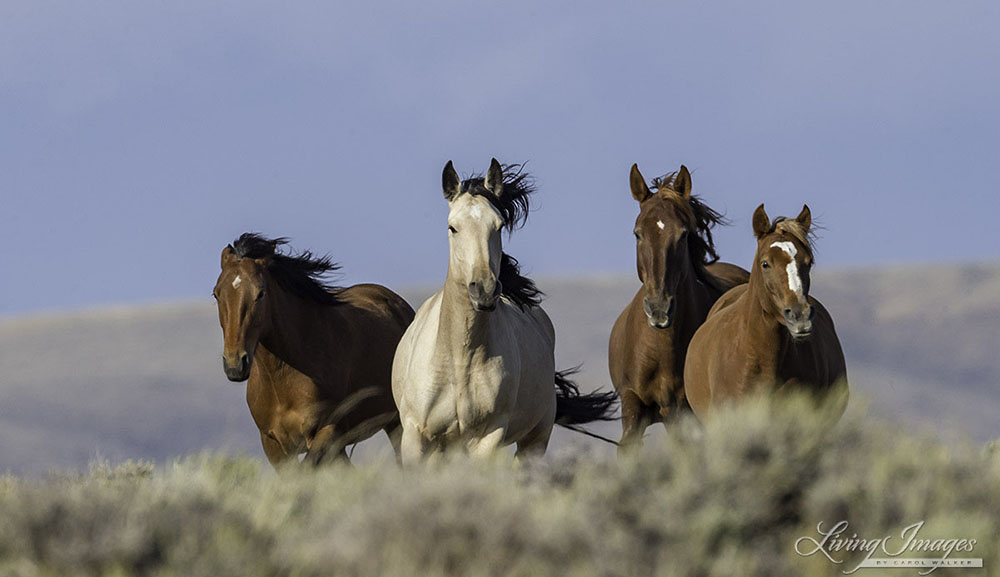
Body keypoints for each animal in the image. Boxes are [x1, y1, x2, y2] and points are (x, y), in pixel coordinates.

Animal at [211, 232, 414, 466]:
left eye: (260, 293)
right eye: (216, 294)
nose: (235, 365)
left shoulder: (327, 432)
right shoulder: (273, 445)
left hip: (397, 422)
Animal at [390, 159, 616, 464]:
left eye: (498, 226)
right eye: (452, 227)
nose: (484, 290)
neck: (458, 360)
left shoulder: (488, 436)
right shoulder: (417, 437)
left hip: (534, 441)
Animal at [604, 164, 748, 452]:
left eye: (682, 235)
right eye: (638, 233)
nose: (659, 309)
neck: (659, 349)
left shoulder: (681, 413)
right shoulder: (632, 403)